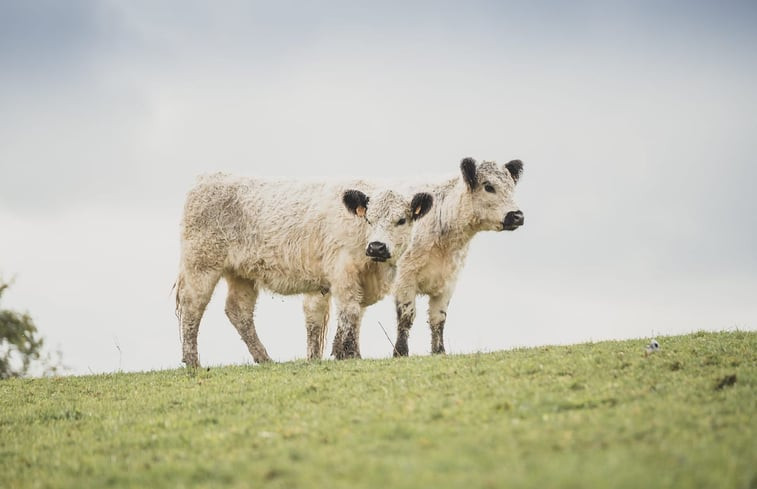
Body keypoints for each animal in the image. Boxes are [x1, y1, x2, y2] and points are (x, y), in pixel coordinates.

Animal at [173, 173, 432, 366]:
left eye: (401, 220)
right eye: (368, 219)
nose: (377, 246)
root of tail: (207, 179)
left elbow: (354, 316)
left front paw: (342, 352)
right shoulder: (343, 271)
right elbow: (349, 311)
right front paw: (350, 355)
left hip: (241, 274)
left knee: (238, 310)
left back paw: (264, 358)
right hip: (201, 264)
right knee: (192, 305)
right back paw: (192, 361)